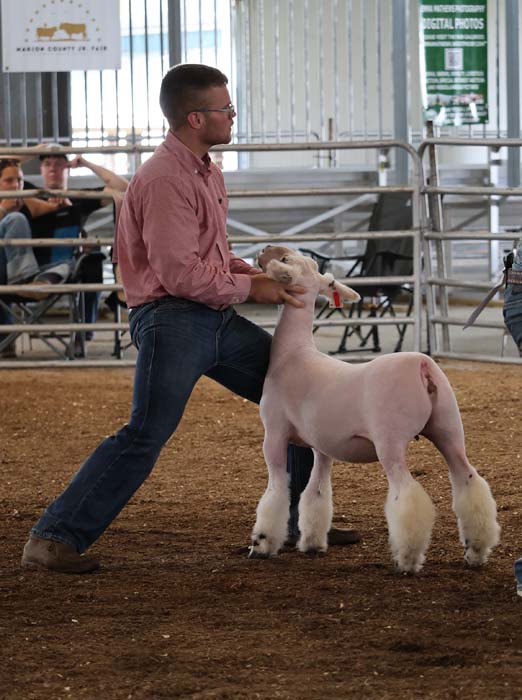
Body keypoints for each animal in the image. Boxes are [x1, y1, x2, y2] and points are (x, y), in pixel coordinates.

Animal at [250, 245, 500, 573]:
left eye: (285, 260)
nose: (265, 250)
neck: (293, 352)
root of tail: (422, 365)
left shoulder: (275, 433)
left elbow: (277, 490)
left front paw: (263, 543)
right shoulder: (322, 446)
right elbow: (316, 492)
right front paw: (313, 543)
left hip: (389, 439)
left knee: (407, 494)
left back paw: (408, 559)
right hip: (448, 428)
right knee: (470, 483)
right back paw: (476, 552)